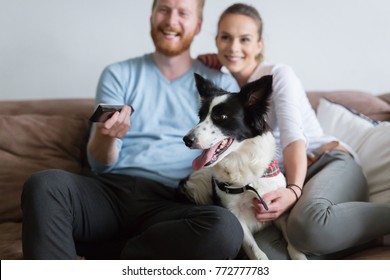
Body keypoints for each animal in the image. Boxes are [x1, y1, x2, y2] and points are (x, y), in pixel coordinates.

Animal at [181, 72, 306, 260]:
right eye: (200, 117)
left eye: (222, 117)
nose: (186, 140)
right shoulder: (235, 215)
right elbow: (257, 252)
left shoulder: (277, 209)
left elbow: (291, 237)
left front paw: (299, 255)